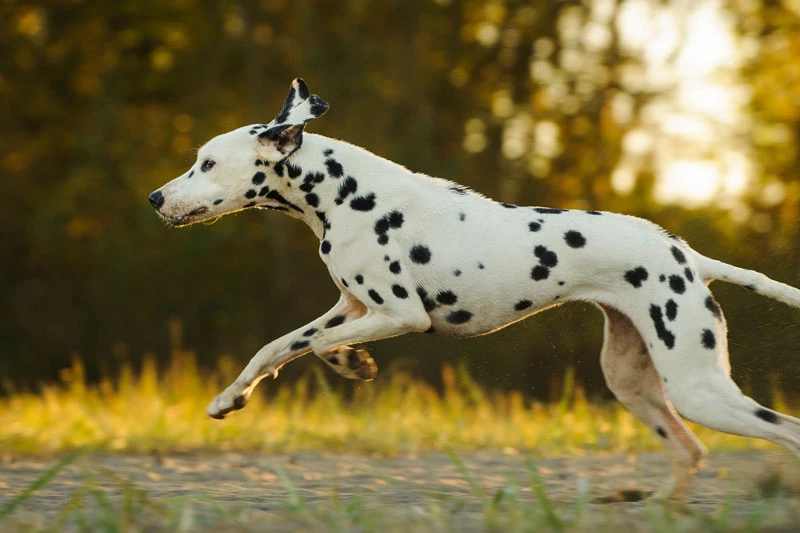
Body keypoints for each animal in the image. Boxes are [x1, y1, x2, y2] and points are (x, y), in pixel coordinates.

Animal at [150, 79, 800, 498]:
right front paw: (231, 398)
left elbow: (310, 346)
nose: (155, 197)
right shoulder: (350, 306)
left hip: (697, 389)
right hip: (635, 384)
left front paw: (349, 363)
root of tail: (687, 255)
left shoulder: (399, 315)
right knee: (691, 452)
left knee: (784, 432)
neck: (345, 194)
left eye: (207, 163)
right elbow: (279, 347)